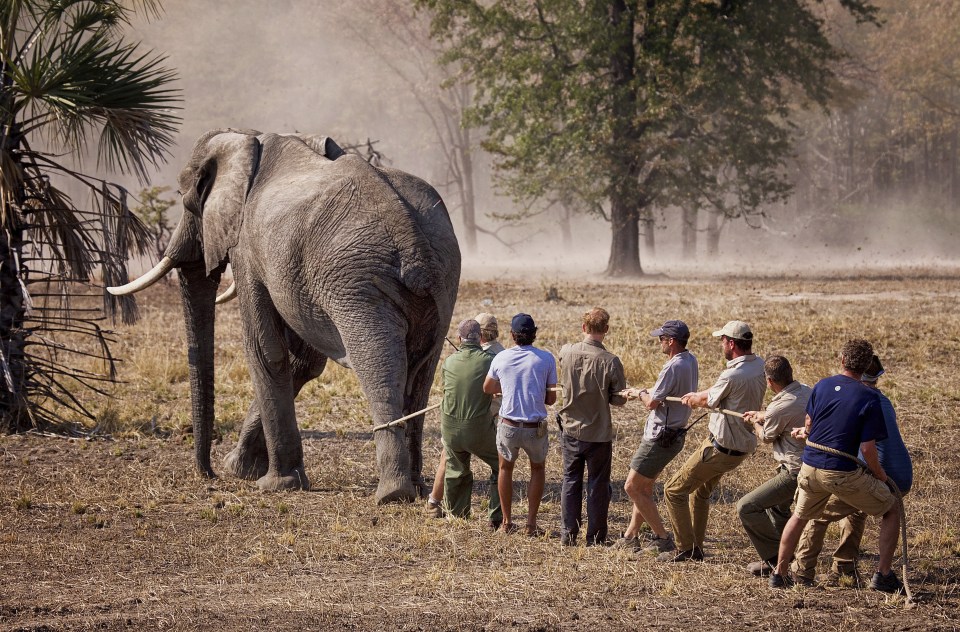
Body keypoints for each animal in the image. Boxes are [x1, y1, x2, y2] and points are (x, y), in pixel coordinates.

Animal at [109, 130, 462, 504]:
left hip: (358, 284)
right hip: (442, 279)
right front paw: (240, 468)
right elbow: (302, 361)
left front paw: (274, 483)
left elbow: (265, 350)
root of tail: (410, 234)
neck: (248, 141)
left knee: (379, 365)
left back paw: (392, 494)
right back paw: (416, 486)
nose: (208, 474)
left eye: (186, 198)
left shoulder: (247, 247)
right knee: (421, 372)